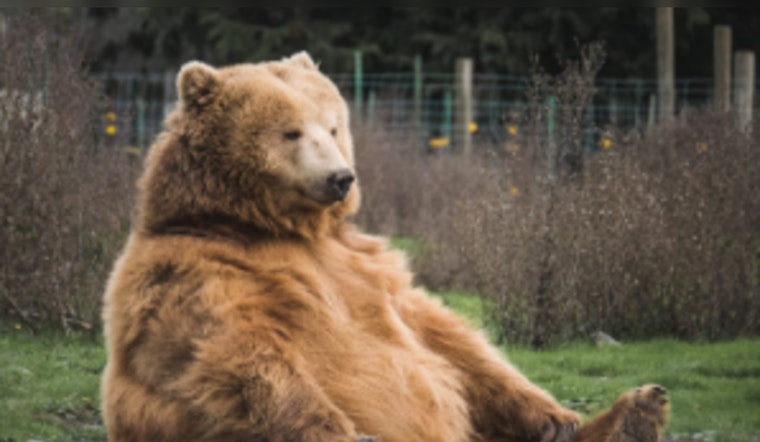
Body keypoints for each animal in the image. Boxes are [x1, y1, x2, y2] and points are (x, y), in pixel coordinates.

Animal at [100, 52, 582, 442]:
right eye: (291, 132)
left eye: (333, 127)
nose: (340, 177)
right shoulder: (195, 270)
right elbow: (234, 353)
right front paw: (348, 433)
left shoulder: (365, 264)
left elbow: (444, 334)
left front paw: (556, 418)